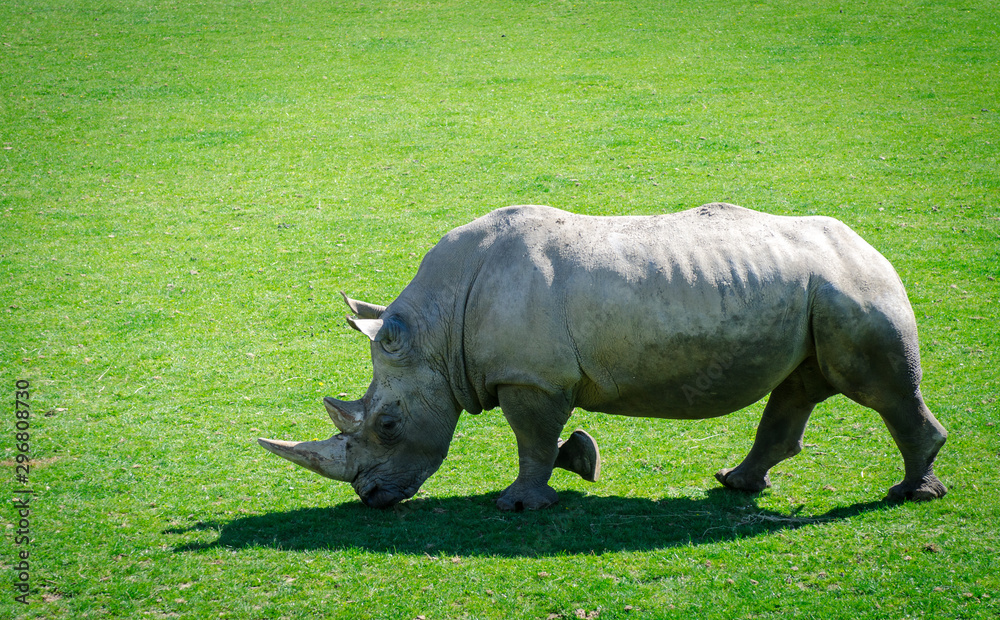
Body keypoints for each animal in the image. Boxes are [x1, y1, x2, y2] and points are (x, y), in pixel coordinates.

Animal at [258, 203, 948, 510]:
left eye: (386, 425)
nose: (371, 497)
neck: (436, 328)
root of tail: (870, 245)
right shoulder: (538, 377)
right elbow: (548, 440)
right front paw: (582, 460)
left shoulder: (530, 379)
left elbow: (531, 440)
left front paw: (518, 504)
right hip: (817, 292)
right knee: (801, 386)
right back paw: (735, 483)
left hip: (850, 289)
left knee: (877, 390)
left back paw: (912, 494)